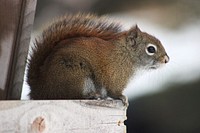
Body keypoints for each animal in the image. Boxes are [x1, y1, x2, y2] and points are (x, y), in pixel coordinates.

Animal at [27, 13, 170, 105]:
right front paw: (123, 98)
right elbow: (115, 92)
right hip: (75, 76)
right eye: (151, 49)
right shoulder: (115, 78)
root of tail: (38, 90)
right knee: (69, 95)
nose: (166, 60)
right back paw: (92, 96)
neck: (126, 55)